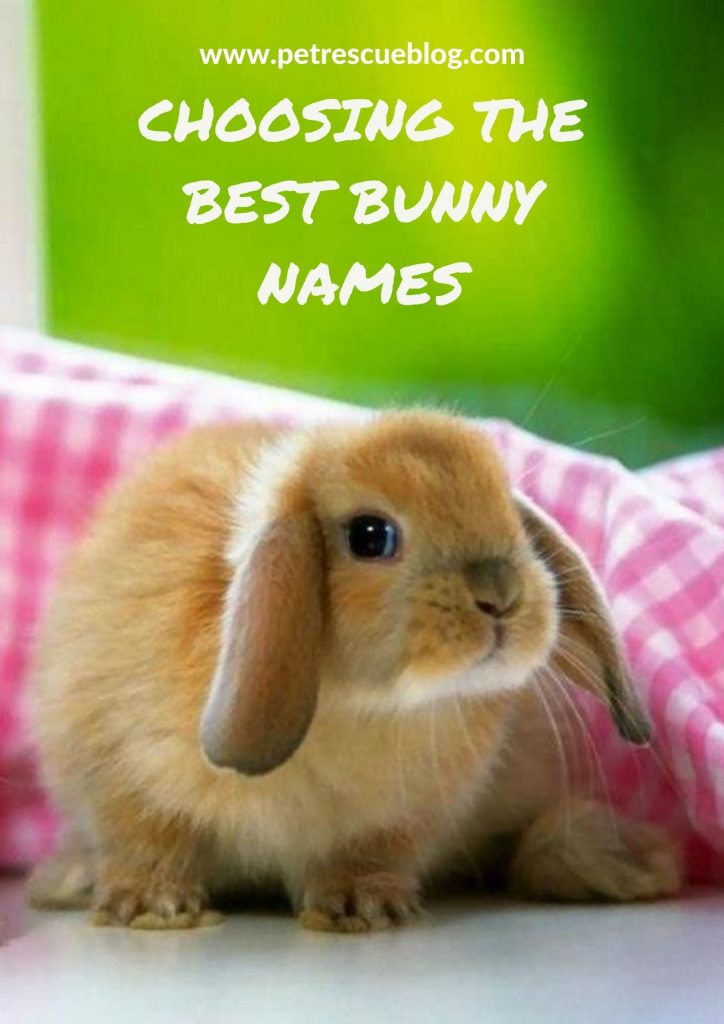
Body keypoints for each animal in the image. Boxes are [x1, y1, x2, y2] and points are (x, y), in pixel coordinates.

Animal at [27, 411, 682, 932]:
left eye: (512, 521)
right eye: (370, 535)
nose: (502, 595)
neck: (357, 705)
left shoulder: (405, 818)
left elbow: (372, 854)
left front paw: (361, 908)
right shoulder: (120, 776)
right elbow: (145, 842)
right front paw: (153, 907)